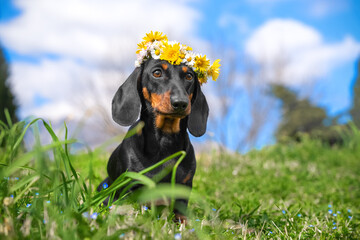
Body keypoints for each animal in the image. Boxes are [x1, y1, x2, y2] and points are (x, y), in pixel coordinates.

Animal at [97, 58, 208, 219]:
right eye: (157, 73)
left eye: (189, 76)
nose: (181, 103)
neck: (164, 143)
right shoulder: (130, 186)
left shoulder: (183, 189)